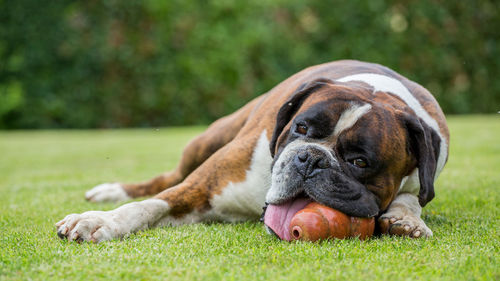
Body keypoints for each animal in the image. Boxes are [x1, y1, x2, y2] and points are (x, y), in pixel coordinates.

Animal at [55, 58, 450, 241]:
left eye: (359, 162)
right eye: (301, 128)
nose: (310, 158)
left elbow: (413, 195)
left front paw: (405, 218)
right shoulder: (201, 187)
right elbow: (149, 205)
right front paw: (100, 221)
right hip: (207, 140)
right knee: (165, 178)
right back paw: (111, 192)